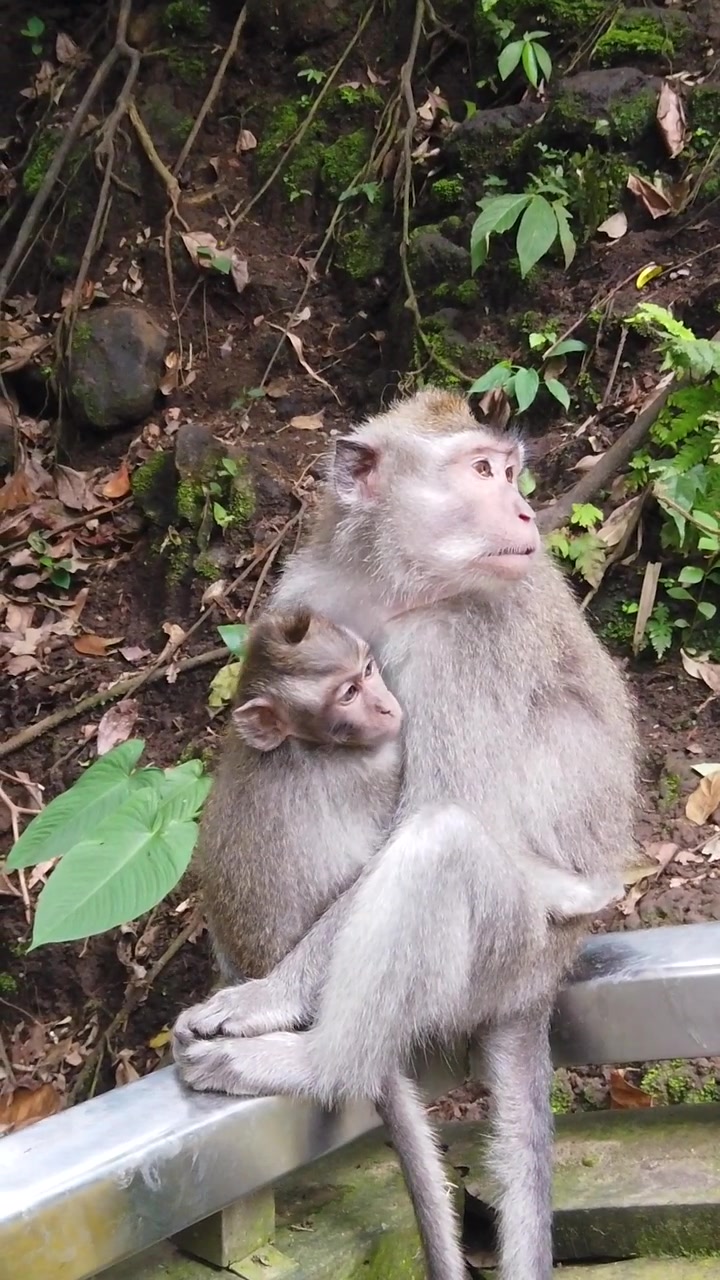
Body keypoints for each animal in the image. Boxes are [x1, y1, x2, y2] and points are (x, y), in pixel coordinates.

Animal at [174, 388, 637, 1280]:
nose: (524, 509)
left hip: (508, 955)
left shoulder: (465, 643)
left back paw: (317, 1063)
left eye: (509, 470)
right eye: (483, 471)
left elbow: (433, 809)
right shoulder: (312, 589)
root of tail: (542, 983)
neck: (399, 587)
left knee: (440, 845)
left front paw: (265, 998)